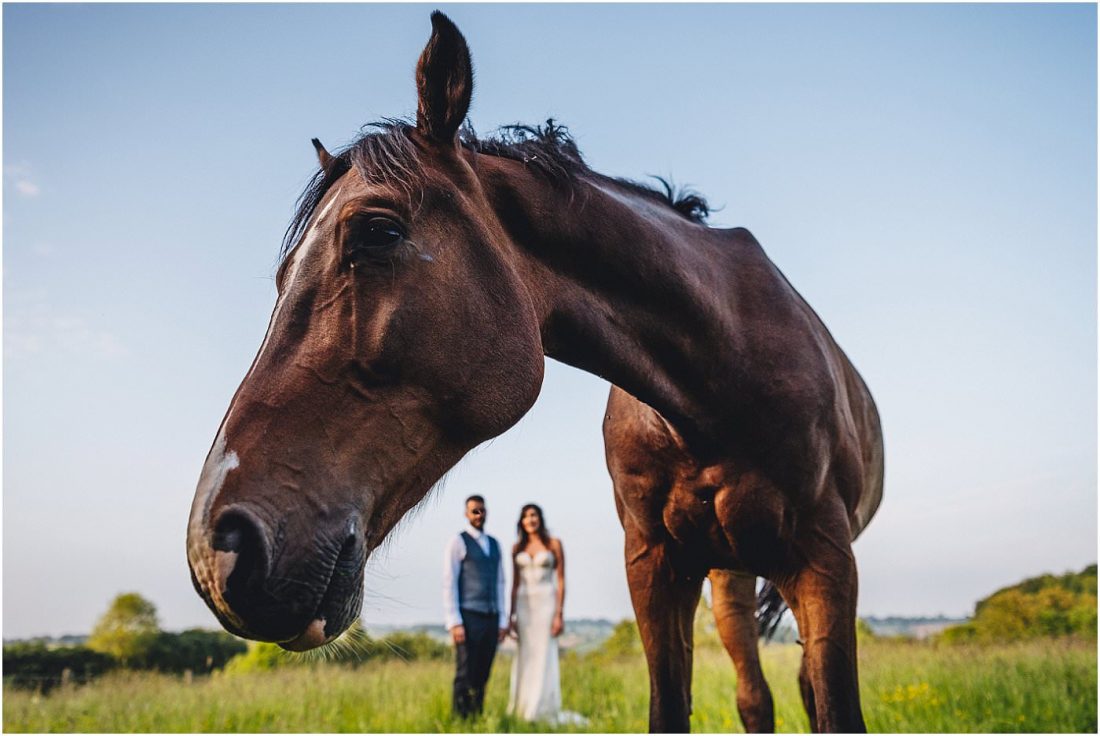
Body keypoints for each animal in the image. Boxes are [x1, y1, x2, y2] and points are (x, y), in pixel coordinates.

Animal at [186, 12, 883, 733]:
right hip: (729, 577)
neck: (718, 381)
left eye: (377, 232)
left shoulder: (827, 562)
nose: (217, 549)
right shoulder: (654, 566)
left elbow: (836, 705)